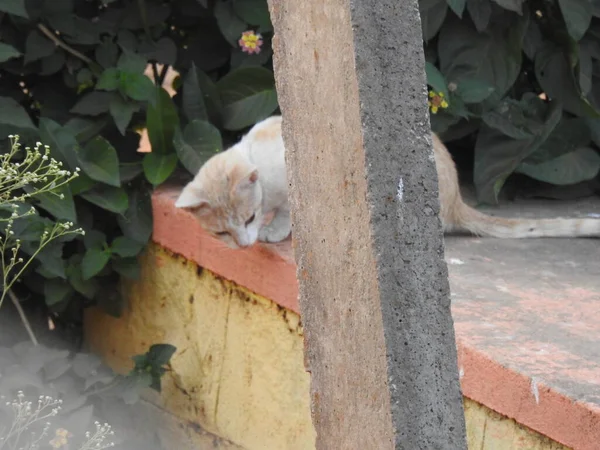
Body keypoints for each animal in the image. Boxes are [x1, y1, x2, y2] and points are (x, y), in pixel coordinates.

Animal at [176, 115, 600, 250]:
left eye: (247, 220)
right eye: (222, 233)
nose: (243, 245)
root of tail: (455, 199)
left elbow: (286, 212)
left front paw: (276, 229)